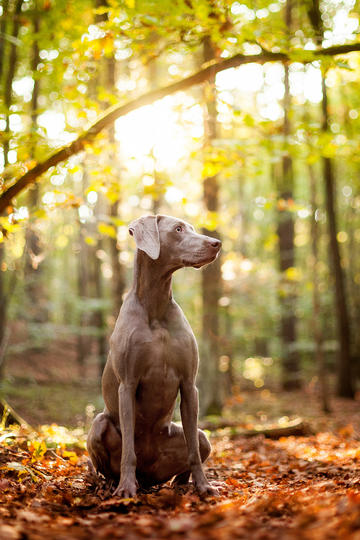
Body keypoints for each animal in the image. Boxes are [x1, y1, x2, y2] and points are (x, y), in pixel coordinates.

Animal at [87, 213, 221, 496]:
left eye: (191, 227)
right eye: (178, 229)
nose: (217, 243)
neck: (156, 306)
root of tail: (149, 476)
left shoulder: (189, 384)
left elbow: (193, 450)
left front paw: (204, 485)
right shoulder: (127, 384)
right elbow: (128, 451)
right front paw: (126, 488)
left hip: (199, 437)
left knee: (197, 442)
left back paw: (181, 483)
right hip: (99, 424)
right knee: (107, 464)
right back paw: (114, 483)